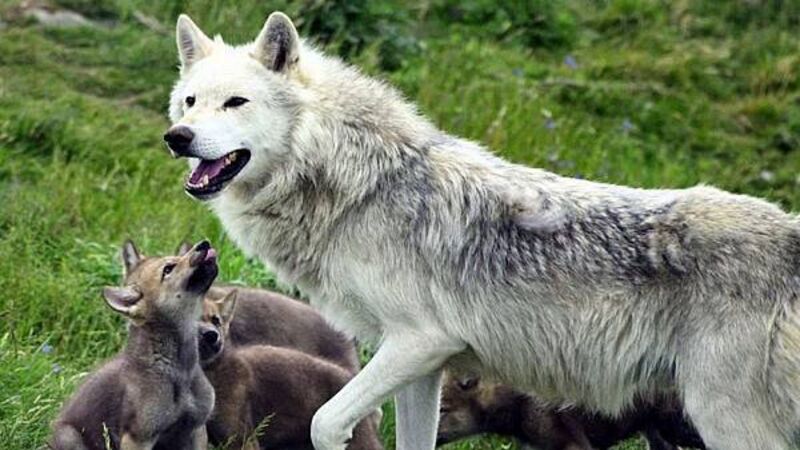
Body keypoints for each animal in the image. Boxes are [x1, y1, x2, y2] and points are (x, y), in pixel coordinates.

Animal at [49, 240, 216, 450]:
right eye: (168, 269)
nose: (205, 243)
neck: (180, 371)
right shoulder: (138, 437)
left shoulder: (196, 430)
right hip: (69, 436)